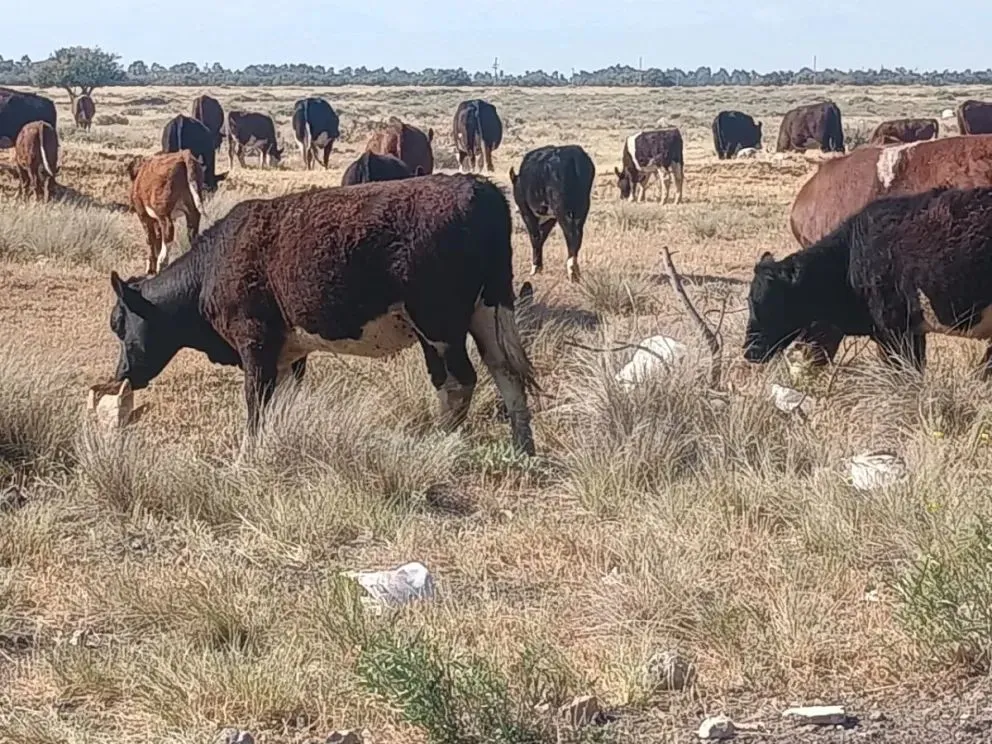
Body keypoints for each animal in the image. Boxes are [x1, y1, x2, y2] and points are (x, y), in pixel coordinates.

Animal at [104, 174, 538, 456]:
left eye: (120, 324)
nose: (122, 374)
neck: (214, 265)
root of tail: (477, 187)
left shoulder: (254, 343)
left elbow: (255, 403)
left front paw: (247, 455)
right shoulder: (289, 354)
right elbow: (281, 401)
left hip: (439, 325)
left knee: (461, 380)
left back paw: (442, 442)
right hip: (486, 312)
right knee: (504, 371)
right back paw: (523, 447)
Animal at [509, 145, 595, 283]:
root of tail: (572, 157)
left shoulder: (527, 212)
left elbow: (535, 236)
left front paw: (535, 268)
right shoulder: (550, 217)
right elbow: (543, 236)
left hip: (560, 207)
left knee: (570, 232)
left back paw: (572, 271)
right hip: (582, 206)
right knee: (577, 234)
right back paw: (576, 271)